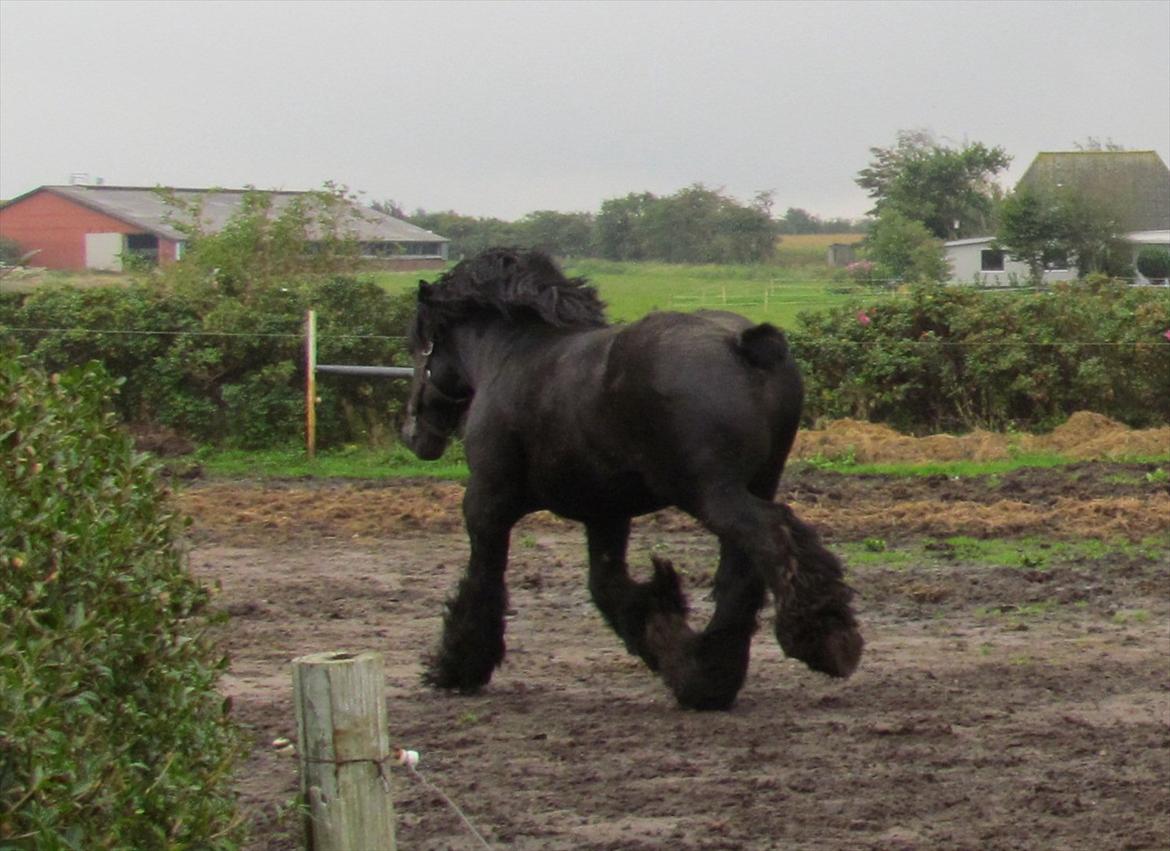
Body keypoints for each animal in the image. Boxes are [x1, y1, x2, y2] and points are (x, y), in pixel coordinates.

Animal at [402, 248, 861, 711]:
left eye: (420, 347)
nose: (413, 434)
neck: (512, 356)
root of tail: (745, 345)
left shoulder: (487, 504)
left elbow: (483, 580)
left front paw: (456, 665)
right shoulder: (605, 514)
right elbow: (609, 588)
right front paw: (665, 634)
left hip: (713, 493)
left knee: (771, 536)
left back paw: (823, 639)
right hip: (755, 483)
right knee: (742, 572)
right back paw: (709, 676)